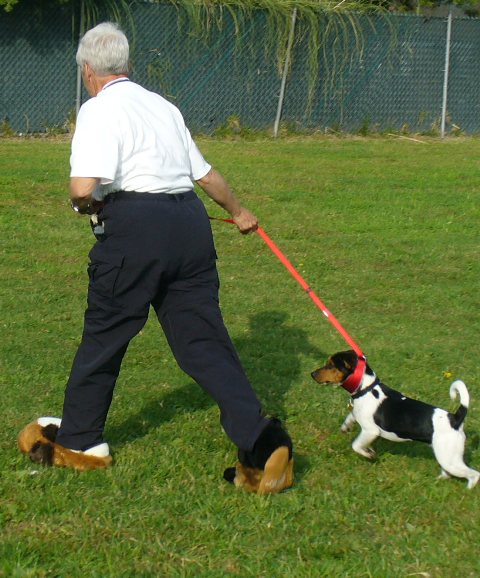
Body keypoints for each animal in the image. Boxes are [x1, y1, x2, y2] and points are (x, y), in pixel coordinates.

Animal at [312, 352, 480, 486]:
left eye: (330, 365)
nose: (312, 374)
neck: (365, 388)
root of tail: (455, 419)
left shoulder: (370, 431)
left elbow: (356, 445)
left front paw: (369, 454)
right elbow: (351, 416)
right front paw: (347, 427)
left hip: (449, 458)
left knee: (474, 475)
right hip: (445, 455)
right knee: (448, 473)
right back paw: (438, 481)